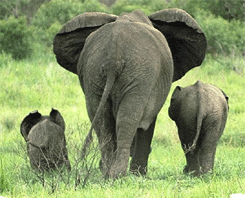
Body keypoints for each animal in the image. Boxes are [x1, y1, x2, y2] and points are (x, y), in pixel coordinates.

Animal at [53, 8, 207, 179]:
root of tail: (114, 53)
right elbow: (147, 123)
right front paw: (139, 175)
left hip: (93, 71)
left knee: (102, 120)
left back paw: (107, 173)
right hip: (140, 73)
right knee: (127, 118)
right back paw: (117, 174)